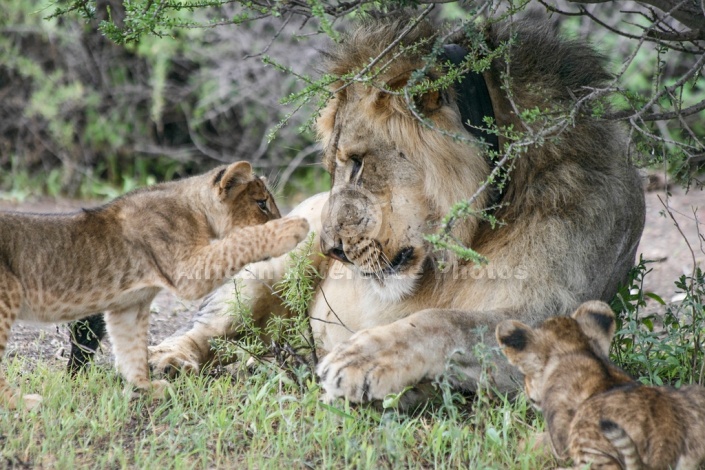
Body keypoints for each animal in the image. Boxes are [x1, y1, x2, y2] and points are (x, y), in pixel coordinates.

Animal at [147, 16, 644, 402]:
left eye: (358, 162)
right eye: (333, 165)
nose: (331, 250)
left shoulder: (558, 316)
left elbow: (444, 322)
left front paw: (364, 363)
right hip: (273, 267)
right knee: (211, 327)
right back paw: (165, 360)